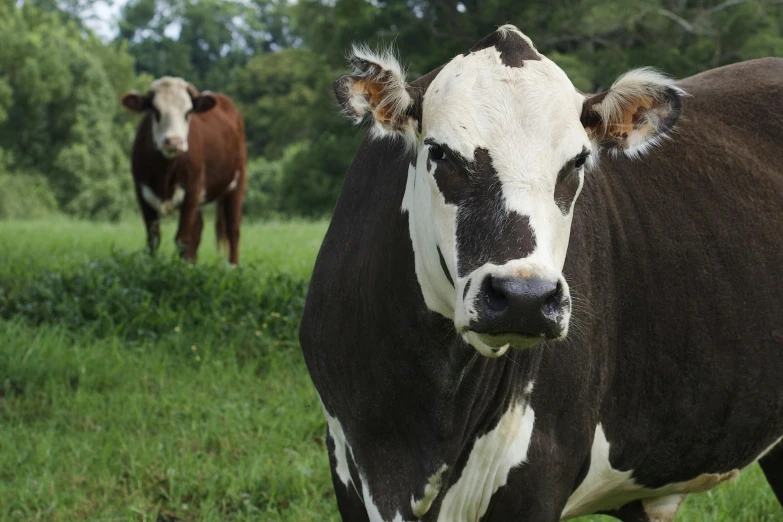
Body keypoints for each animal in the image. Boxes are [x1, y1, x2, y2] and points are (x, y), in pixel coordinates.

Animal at [122, 76, 247, 264]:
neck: (164, 171)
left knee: (233, 229)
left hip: (236, 183)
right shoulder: (142, 193)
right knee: (199, 229)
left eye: (187, 113)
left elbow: (183, 239)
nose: (174, 142)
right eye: (155, 111)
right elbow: (153, 238)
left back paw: (232, 266)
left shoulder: (192, 191)